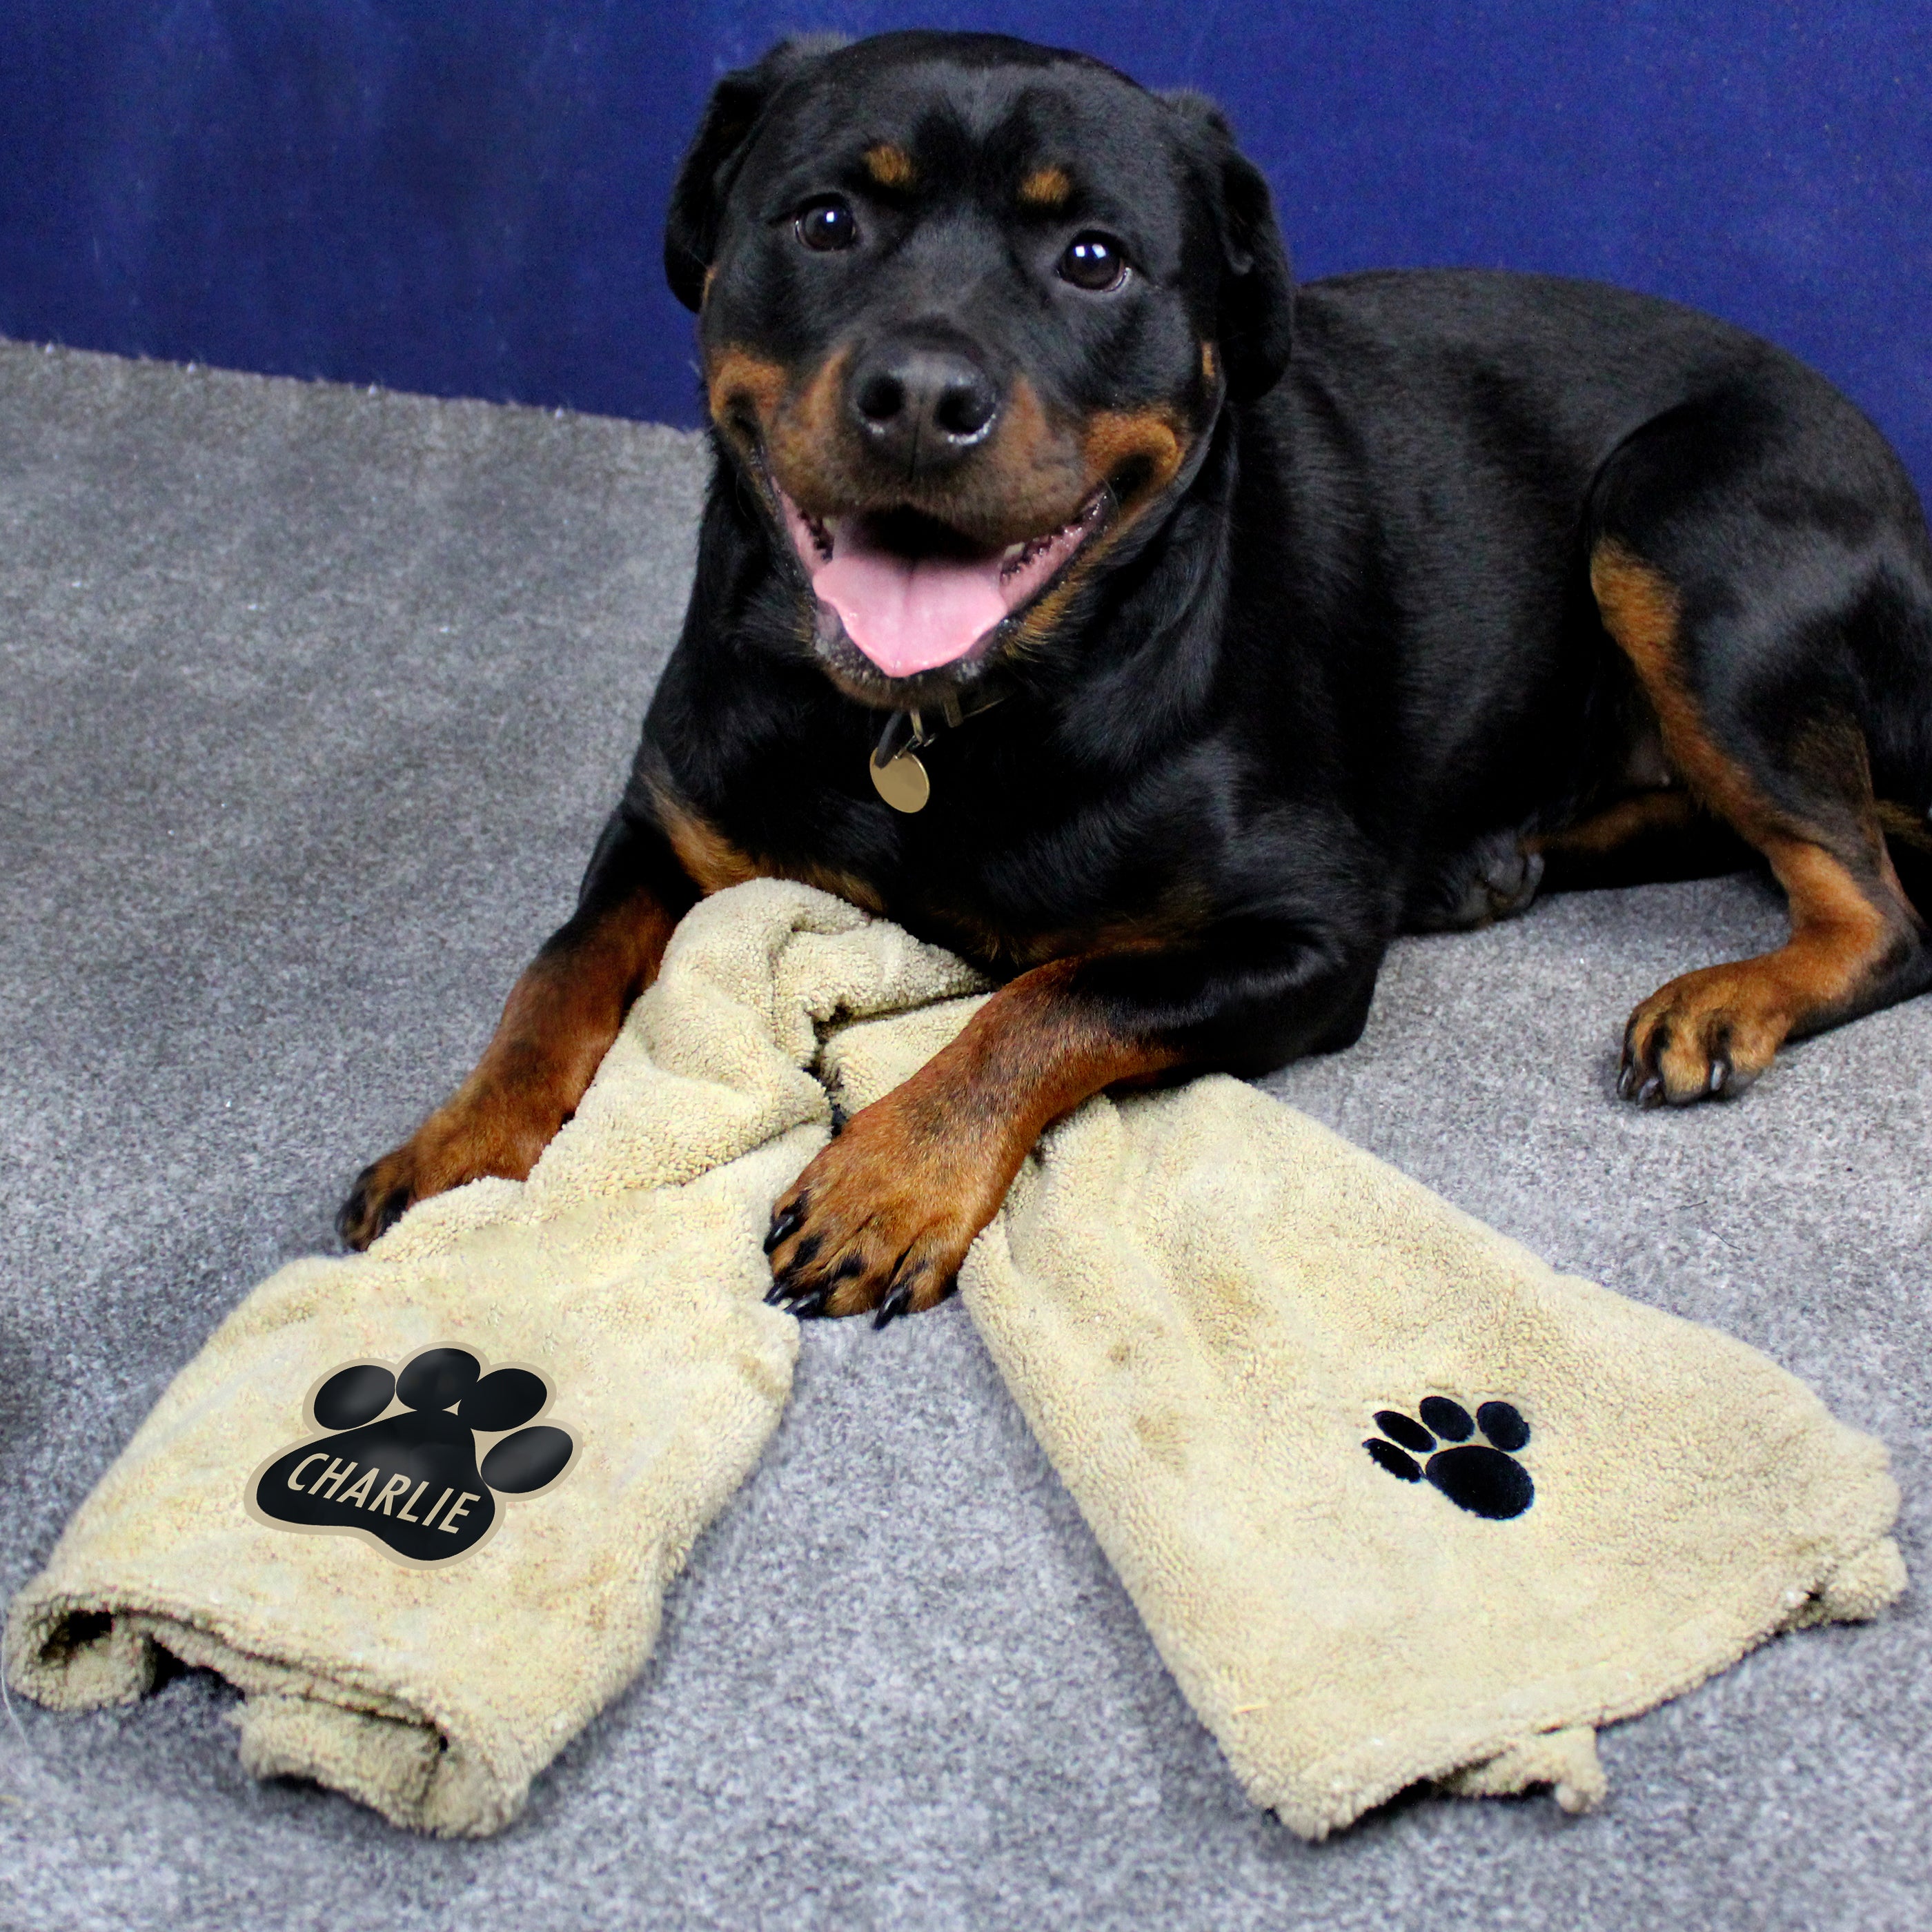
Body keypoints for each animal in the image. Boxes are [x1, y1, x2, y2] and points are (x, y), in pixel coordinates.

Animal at [339, 34, 1932, 1329]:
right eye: (827, 220)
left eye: (1094, 259)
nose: (921, 395)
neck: (933, 722)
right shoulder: (668, 820)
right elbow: (556, 968)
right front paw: (455, 1153)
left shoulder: (1302, 936)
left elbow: (1055, 995)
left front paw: (894, 1175)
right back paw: (1495, 860)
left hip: (1676, 532)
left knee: (1876, 909)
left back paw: (1722, 996)